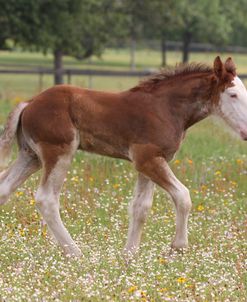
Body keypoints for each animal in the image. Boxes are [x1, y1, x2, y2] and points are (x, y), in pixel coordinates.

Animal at [0, 55, 247, 256]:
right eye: (233, 94)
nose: (246, 131)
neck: (166, 108)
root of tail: (29, 103)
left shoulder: (151, 162)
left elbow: (141, 207)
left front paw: (129, 255)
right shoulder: (147, 159)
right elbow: (183, 196)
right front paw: (178, 247)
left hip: (30, 156)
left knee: (5, 188)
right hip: (59, 152)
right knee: (47, 198)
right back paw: (75, 252)